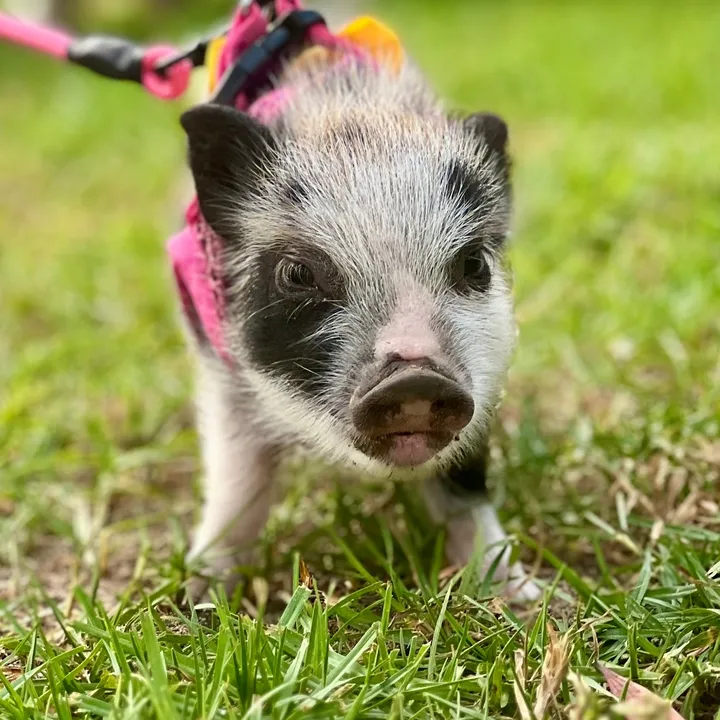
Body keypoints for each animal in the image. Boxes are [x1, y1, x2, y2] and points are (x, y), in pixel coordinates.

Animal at [178, 55, 541, 603]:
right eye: (297, 273)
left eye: (474, 262)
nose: (414, 377)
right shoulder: (222, 368)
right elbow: (237, 483)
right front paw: (198, 598)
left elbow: (465, 487)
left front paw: (521, 595)